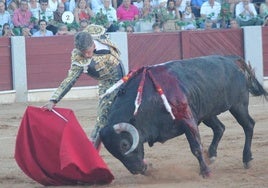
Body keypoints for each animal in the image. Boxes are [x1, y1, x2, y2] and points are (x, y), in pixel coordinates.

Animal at [98, 54, 268, 178]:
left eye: (124, 145)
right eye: (112, 151)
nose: (137, 170)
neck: (148, 101)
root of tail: (233, 59)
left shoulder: (187, 120)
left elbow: (196, 147)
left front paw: (205, 172)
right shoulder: (192, 117)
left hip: (238, 106)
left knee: (248, 125)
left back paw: (246, 159)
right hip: (206, 112)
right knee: (220, 128)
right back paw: (212, 155)